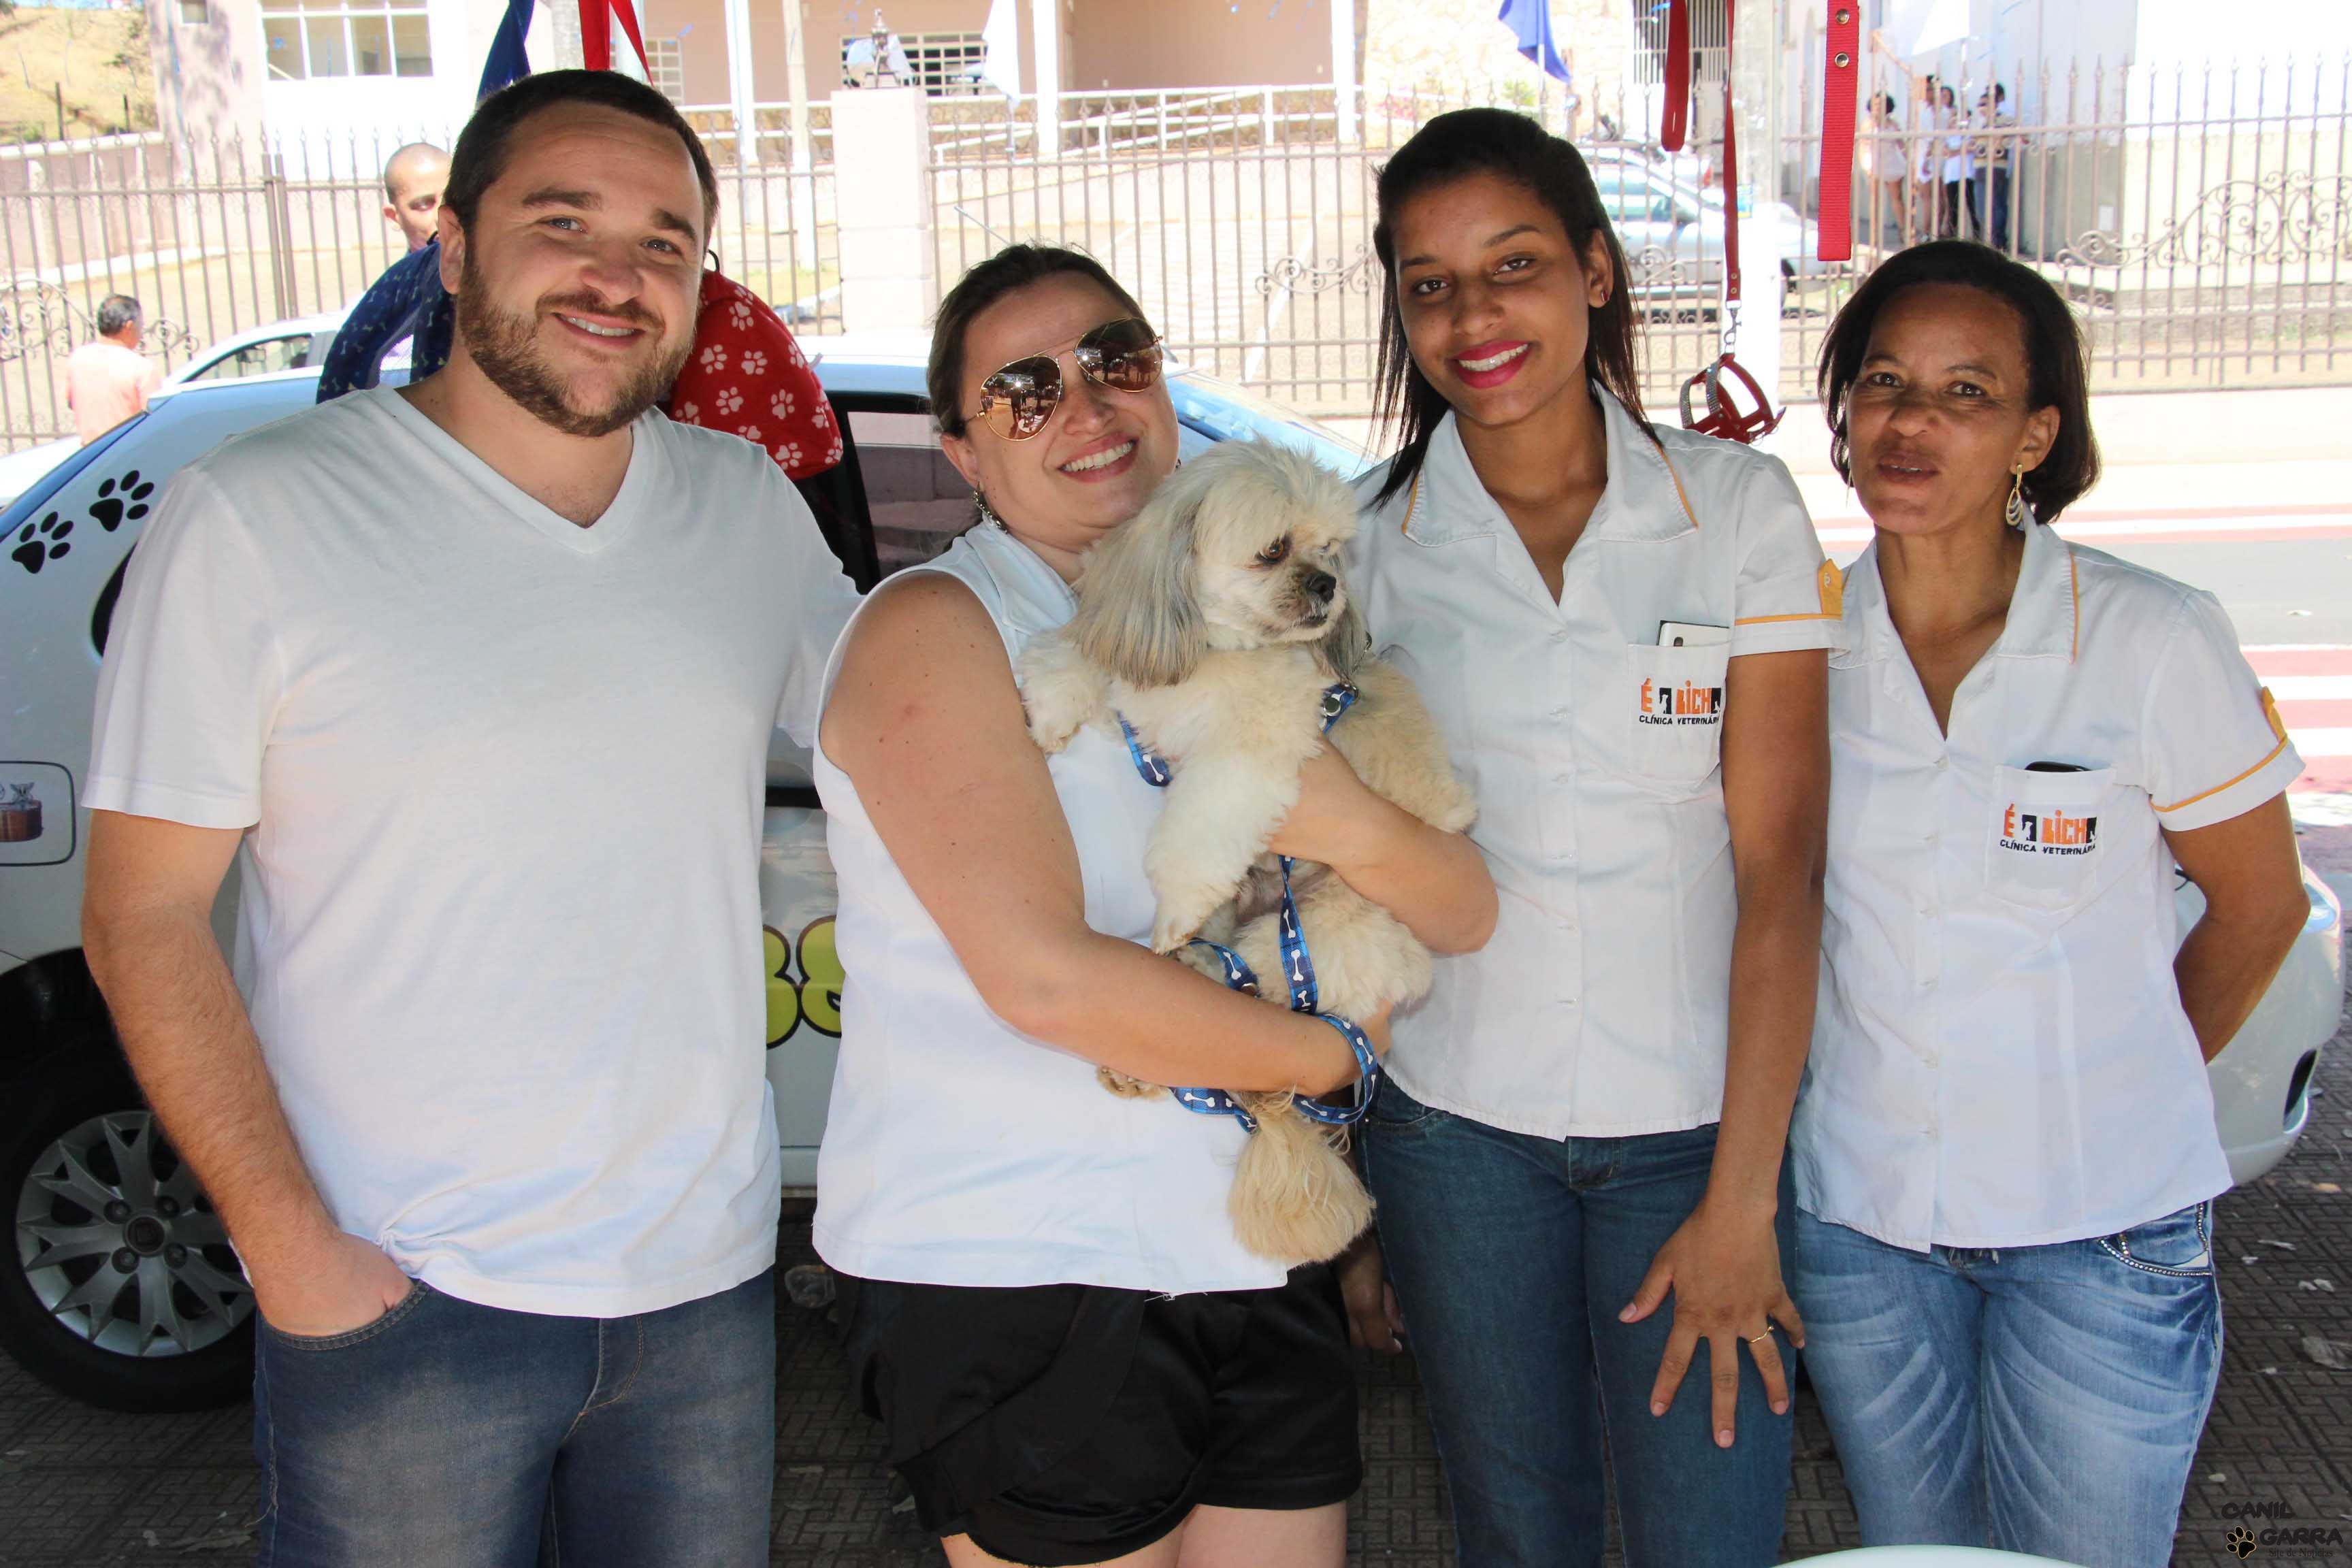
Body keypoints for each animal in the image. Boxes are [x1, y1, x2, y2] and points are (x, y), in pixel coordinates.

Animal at [1019, 438, 1476, 1266]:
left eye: (1331, 550)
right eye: (1274, 551)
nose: (1328, 584)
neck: (1215, 652)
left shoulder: (1250, 757)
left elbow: (1195, 838)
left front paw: (1171, 912)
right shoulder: (1144, 667)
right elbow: (1080, 657)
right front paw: (1052, 713)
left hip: (1309, 936)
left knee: (1253, 1006)